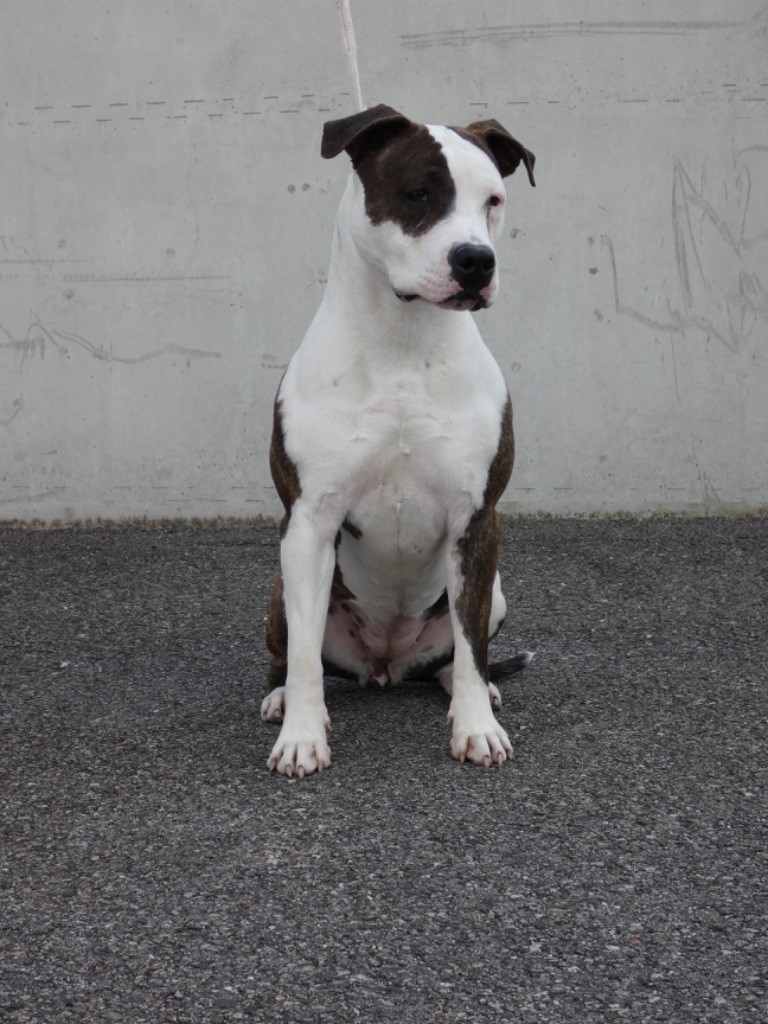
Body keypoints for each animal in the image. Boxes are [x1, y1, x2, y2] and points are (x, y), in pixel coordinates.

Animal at [262, 104, 536, 776]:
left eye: (493, 201)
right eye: (418, 194)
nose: (476, 261)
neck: (404, 343)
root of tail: (385, 664)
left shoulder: (477, 519)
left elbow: (471, 648)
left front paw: (477, 727)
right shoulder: (308, 521)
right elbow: (304, 658)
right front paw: (302, 736)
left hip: (495, 591)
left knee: (459, 652)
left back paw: (470, 691)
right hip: (279, 589)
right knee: (292, 654)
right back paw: (280, 700)